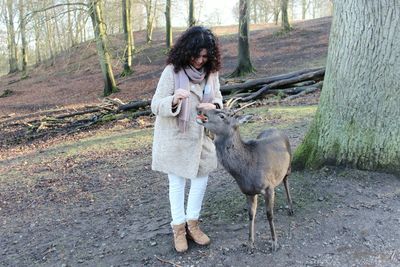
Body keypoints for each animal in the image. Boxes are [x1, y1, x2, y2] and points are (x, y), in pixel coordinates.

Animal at [197, 101, 294, 253]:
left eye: (222, 115)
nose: (200, 109)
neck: (247, 170)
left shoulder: (268, 187)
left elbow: (269, 214)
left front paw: (274, 242)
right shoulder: (248, 191)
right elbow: (250, 215)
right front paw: (250, 244)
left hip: (289, 165)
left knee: (285, 181)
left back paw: (290, 208)